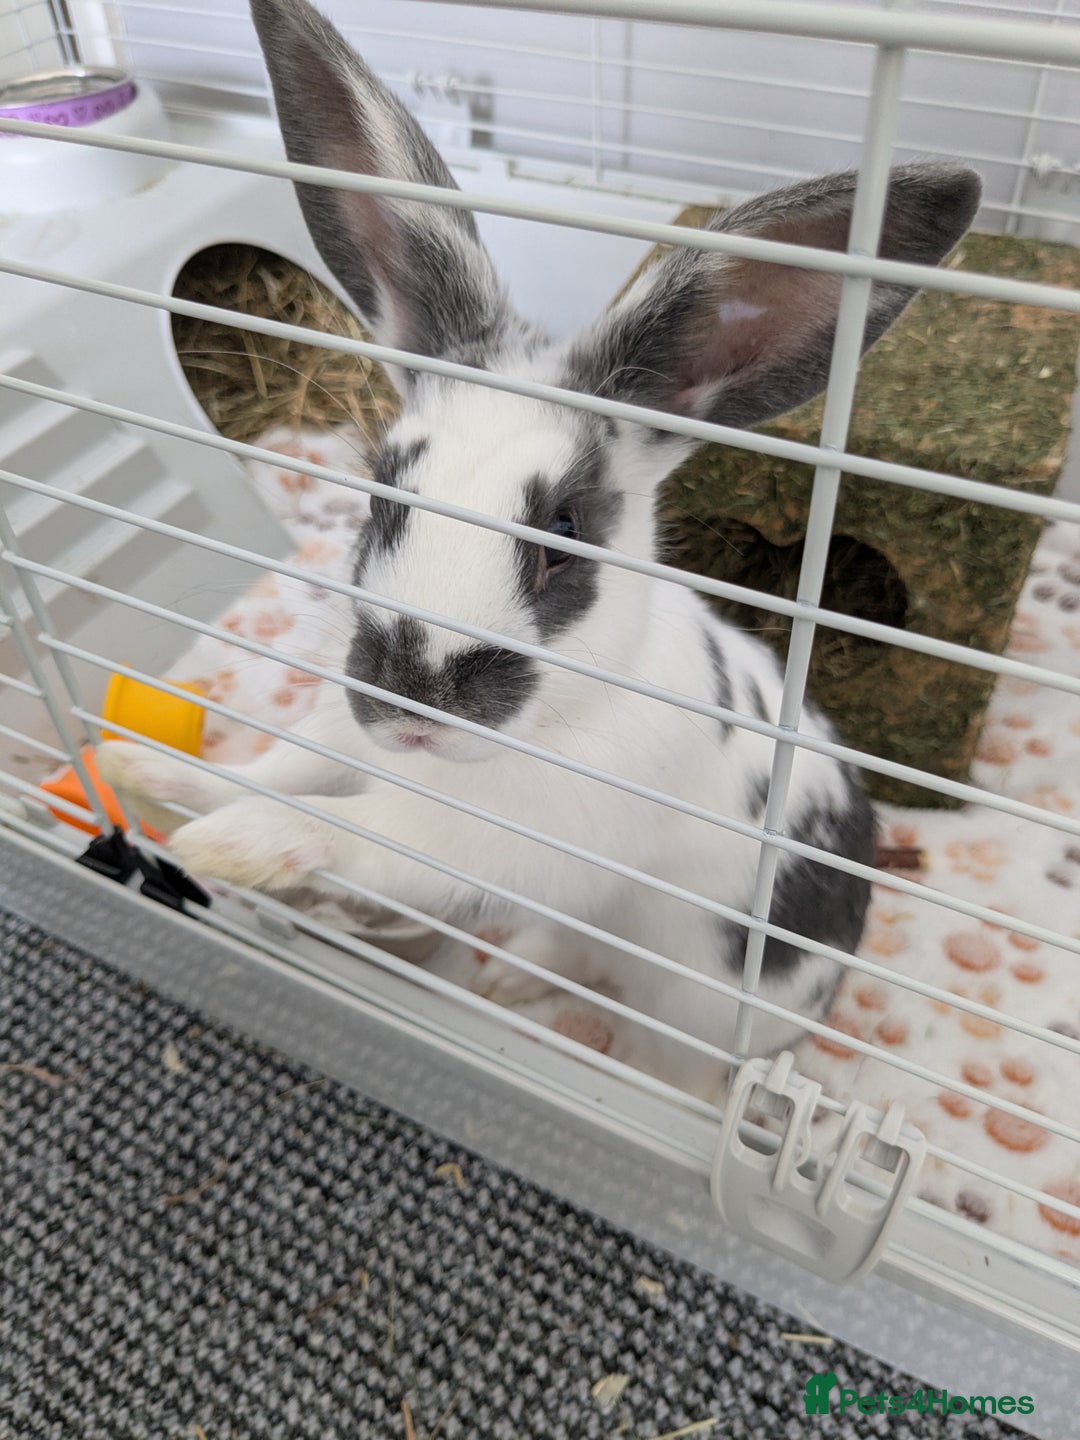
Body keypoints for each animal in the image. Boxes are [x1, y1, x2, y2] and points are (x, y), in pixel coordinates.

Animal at [98, 0, 981, 1097]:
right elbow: (273, 769)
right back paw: (515, 979)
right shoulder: (343, 741)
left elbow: (361, 833)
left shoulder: (493, 842)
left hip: (692, 1008)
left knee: (665, 1064)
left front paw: (233, 845)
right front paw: (143, 768)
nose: (412, 695)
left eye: (563, 533)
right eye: (385, 489)